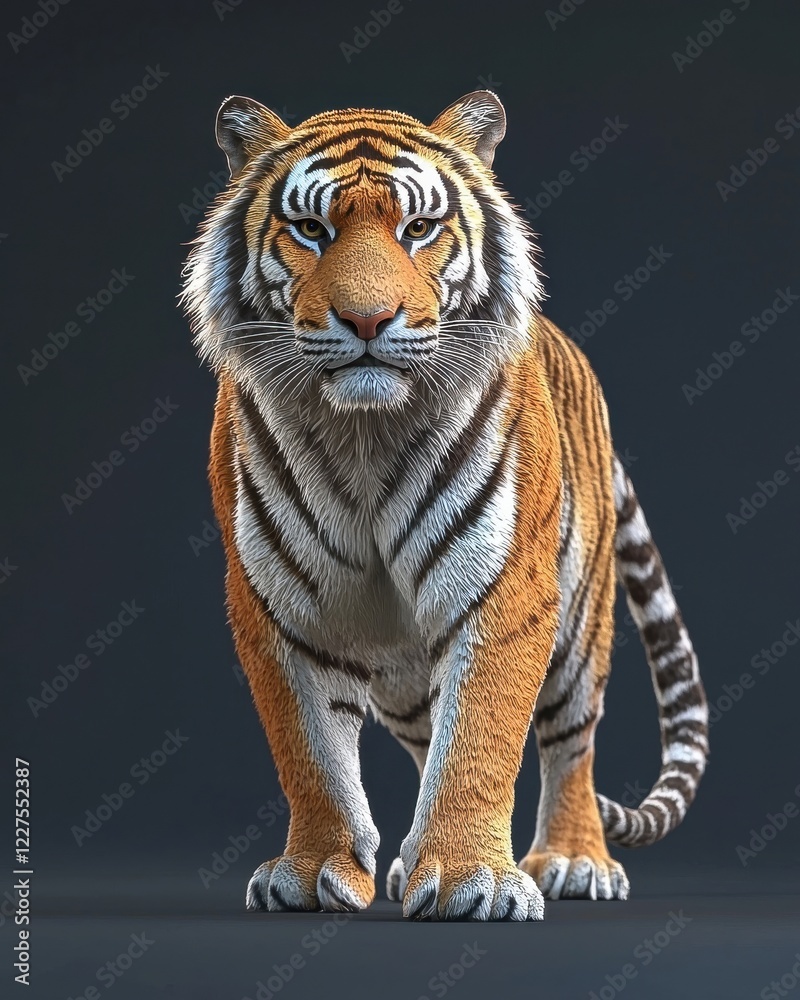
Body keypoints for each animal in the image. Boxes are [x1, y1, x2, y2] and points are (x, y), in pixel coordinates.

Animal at [181, 90, 709, 921]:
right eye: (312, 229)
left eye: (418, 228)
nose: (367, 321)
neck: (364, 435)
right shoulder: (275, 601)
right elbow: (310, 750)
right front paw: (314, 872)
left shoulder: (505, 587)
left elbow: (482, 738)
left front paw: (472, 879)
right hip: (402, 676)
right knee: (429, 729)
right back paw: (407, 866)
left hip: (579, 625)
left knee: (570, 741)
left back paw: (573, 859)